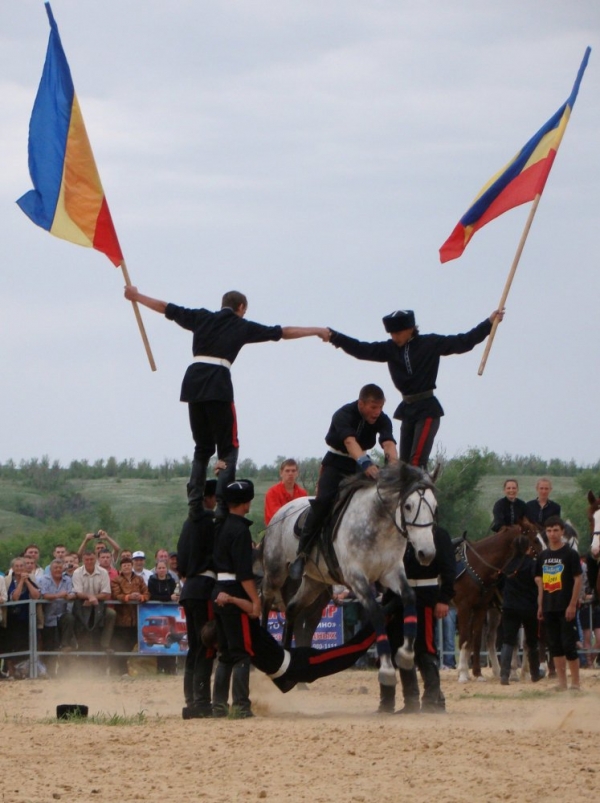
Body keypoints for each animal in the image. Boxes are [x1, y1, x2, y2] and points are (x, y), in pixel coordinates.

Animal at [454, 520, 540, 684]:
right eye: (536, 540)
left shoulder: (480, 607)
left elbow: (476, 638)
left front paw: (477, 673)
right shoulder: (464, 606)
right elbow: (465, 637)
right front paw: (462, 674)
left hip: (493, 611)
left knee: (488, 638)